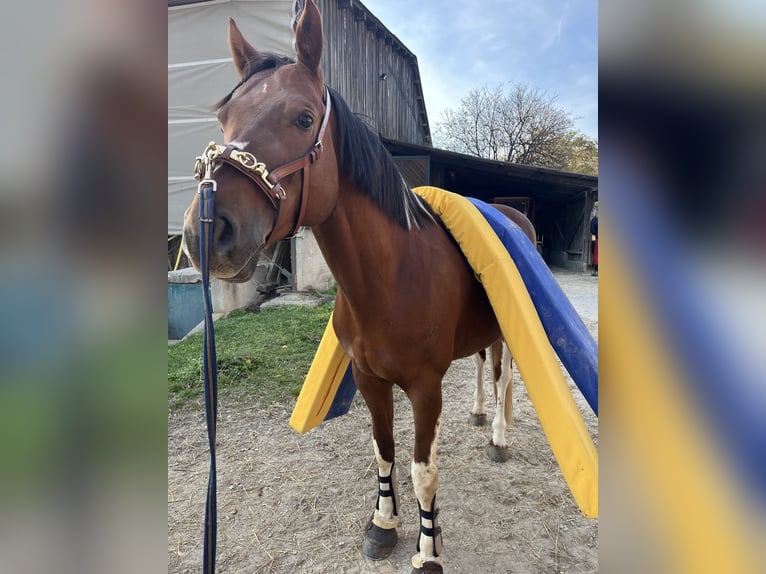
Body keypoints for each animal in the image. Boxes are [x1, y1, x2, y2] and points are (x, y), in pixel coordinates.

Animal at [184, 2, 536, 572]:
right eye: (223, 119)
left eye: (304, 118)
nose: (205, 232)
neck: (392, 278)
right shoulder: (372, 380)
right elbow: (383, 451)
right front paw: (383, 525)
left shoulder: (426, 388)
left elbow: (422, 471)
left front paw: (428, 550)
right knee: (486, 368)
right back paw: (482, 414)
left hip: (504, 331)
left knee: (505, 375)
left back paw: (501, 435)